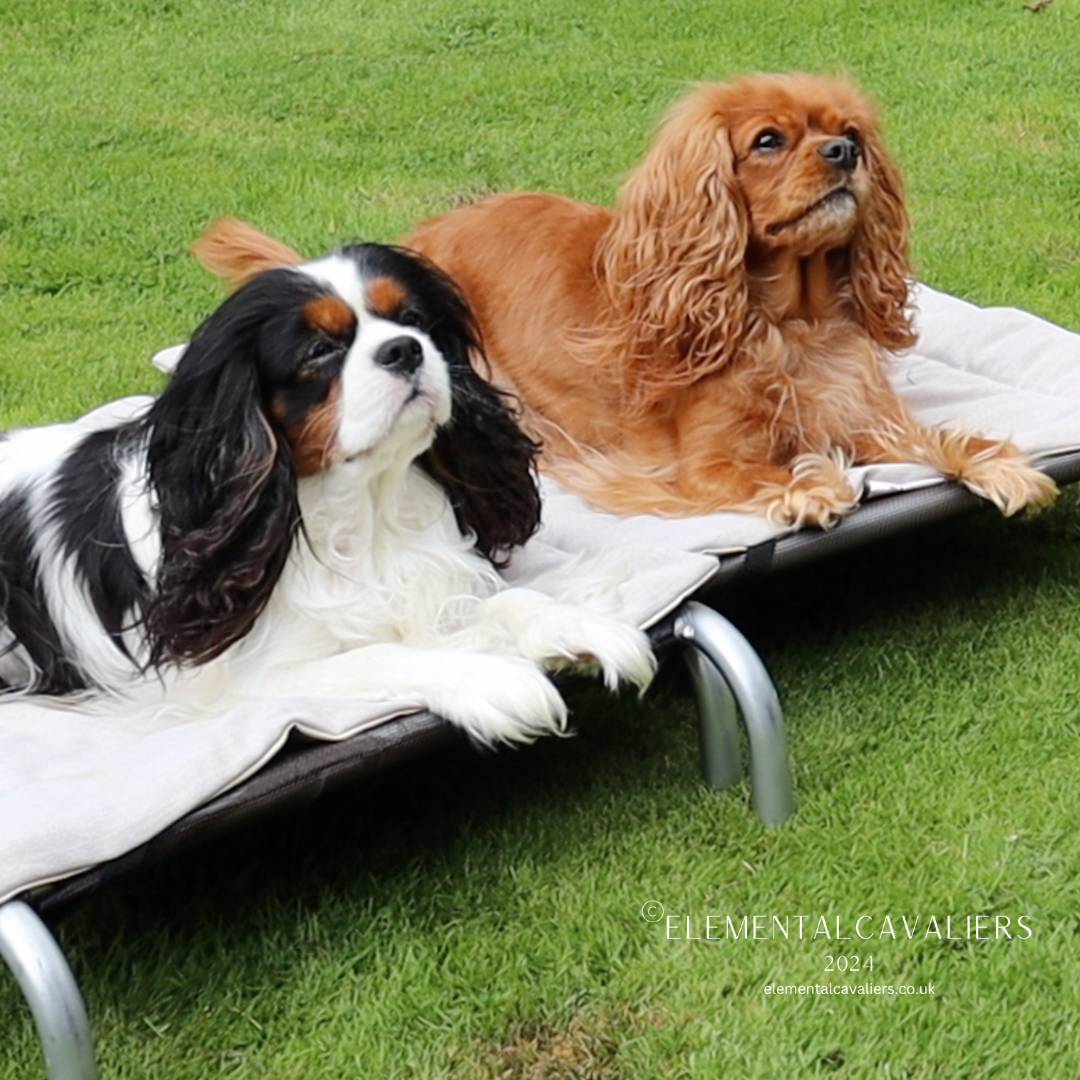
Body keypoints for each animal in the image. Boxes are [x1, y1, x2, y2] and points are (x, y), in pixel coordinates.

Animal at [0, 243, 652, 743]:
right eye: (320, 351)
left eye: (414, 320)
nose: (404, 348)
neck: (362, 508)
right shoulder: (250, 678)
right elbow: (381, 653)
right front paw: (492, 679)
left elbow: (509, 600)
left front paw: (582, 627)